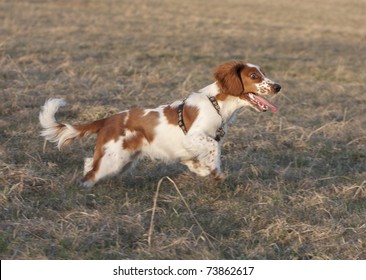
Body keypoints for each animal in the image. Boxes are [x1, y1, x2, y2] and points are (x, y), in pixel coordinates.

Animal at [39, 61, 280, 188]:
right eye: (254, 76)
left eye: (263, 73)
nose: (278, 86)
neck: (218, 103)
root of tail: (108, 119)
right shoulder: (195, 136)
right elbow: (214, 150)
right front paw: (215, 172)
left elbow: (199, 159)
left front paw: (203, 170)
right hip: (114, 159)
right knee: (90, 174)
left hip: (122, 159)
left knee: (89, 162)